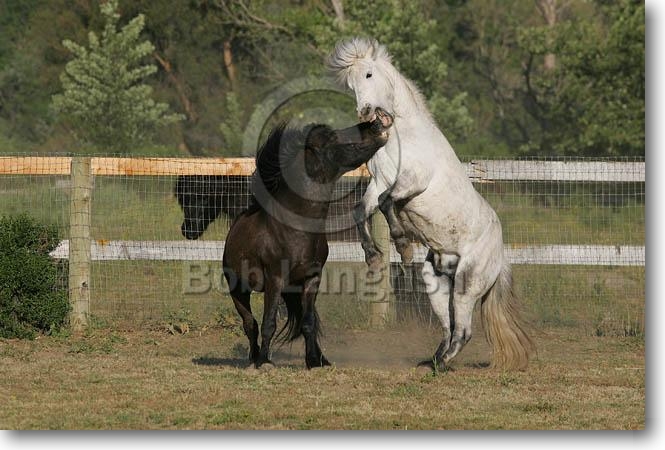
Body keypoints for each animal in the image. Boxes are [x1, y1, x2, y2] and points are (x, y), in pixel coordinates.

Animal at [222, 108, 393, 369]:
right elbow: (268, 322)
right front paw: (265, 362)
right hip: (238, 288)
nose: (375, 124)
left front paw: (314, 361)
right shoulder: (274, 280)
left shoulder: (312, 280)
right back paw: (254, 359)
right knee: (249, 324)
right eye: (331, 138)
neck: (296, 231)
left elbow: (308, 322)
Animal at [328, 37, 535, 371]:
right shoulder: (379, 181)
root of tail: (500, 257)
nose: (365, 111)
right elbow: (362, 210)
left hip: (467, 283)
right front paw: (372, 255)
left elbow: (387, 203)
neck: (405, 136)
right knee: (449, 328)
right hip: (436, 280)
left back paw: (441, 364)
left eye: (369, 74)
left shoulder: (411, 183)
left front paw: (402, 245)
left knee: (463, 331)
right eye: (351, 82)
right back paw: (433, 361)